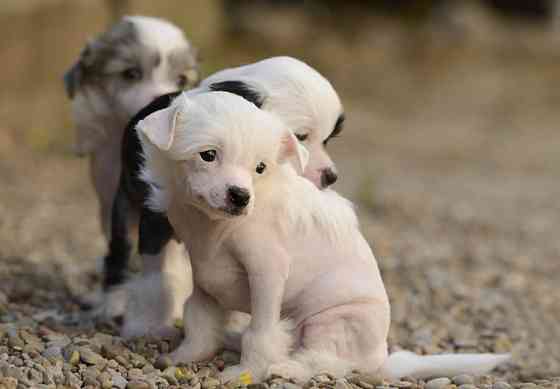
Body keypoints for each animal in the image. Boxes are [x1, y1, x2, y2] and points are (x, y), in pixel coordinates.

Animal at [137, 92, 512, 384]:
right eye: (208, 155)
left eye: (260, 168)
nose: (241, 196)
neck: (213, 225)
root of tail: (381, 358)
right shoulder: (203, 273)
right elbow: (199, 320)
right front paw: (184, 357)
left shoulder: (267, 271)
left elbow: (262, 333)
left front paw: (245, 373)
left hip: (331, 322)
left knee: (329, 362)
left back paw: (288, 369)